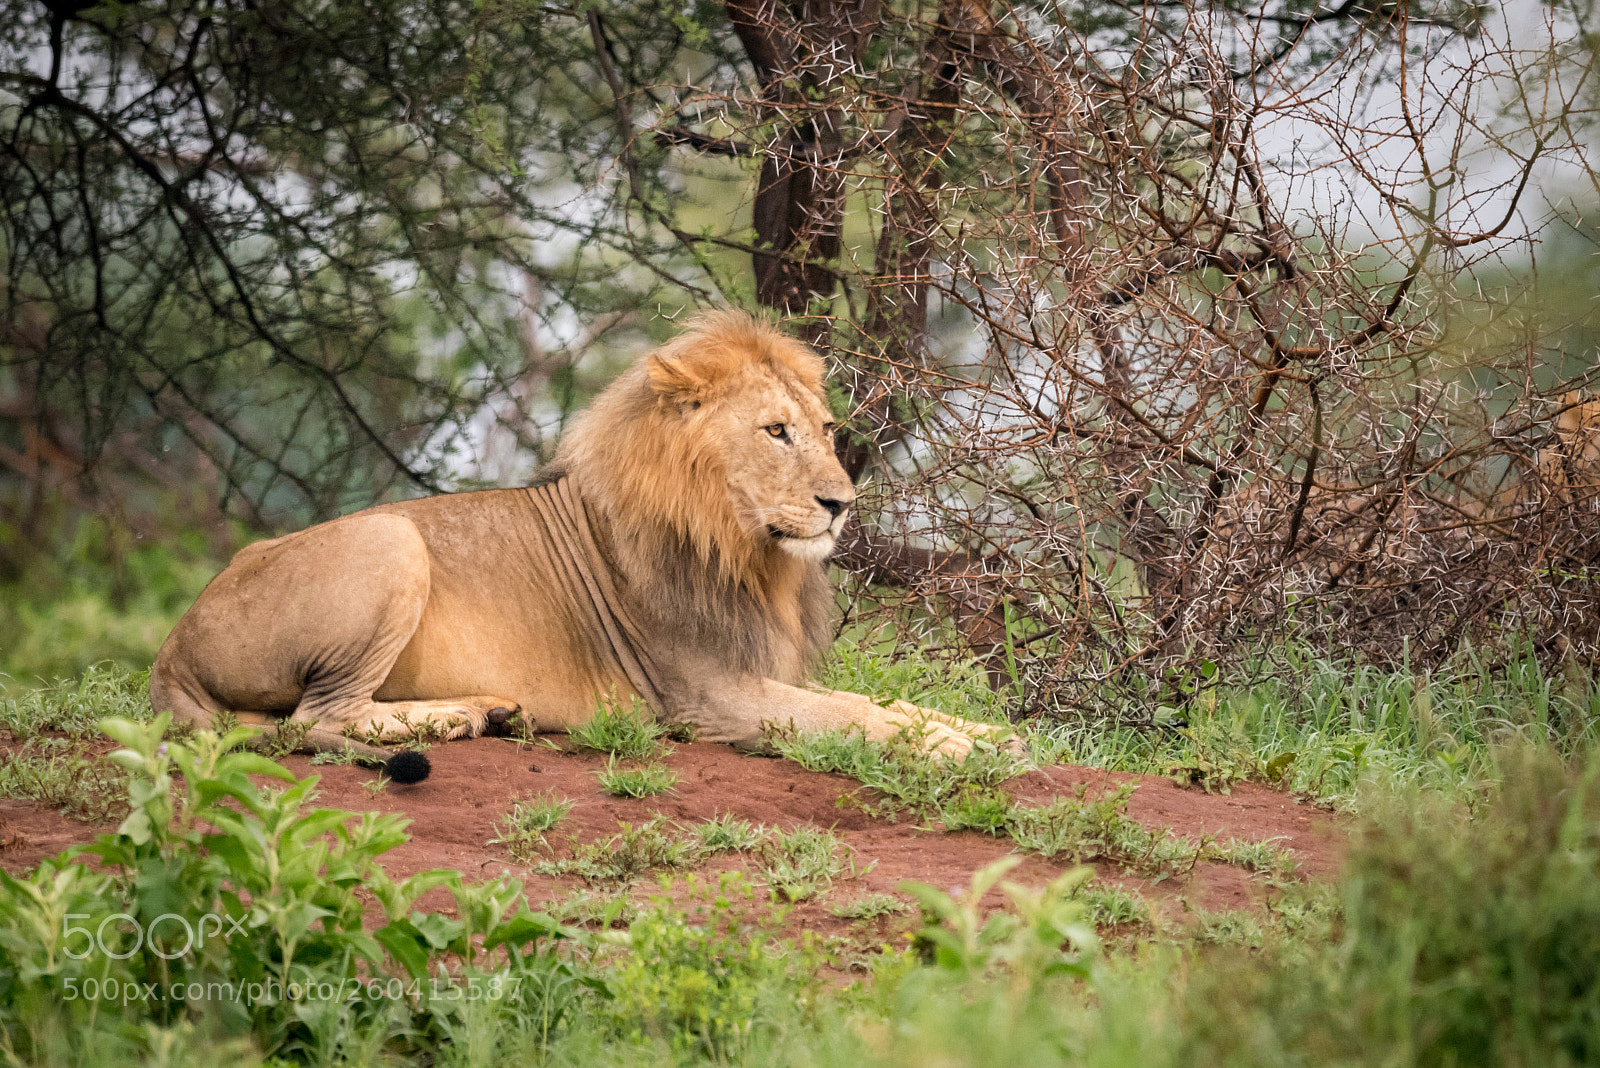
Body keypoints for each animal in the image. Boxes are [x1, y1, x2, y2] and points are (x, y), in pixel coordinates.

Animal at [149, 312, 1007, 782]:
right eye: (775, 431)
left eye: (828, 430)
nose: (841, 504)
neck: (742, 550)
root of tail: (171, 651)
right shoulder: (709, 697)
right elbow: (860, 719)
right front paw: (963, 753)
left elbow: (884, 705)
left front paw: (993, 737)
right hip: (391, 537)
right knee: (315, 717)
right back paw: (447, 720)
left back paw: (487, 712)